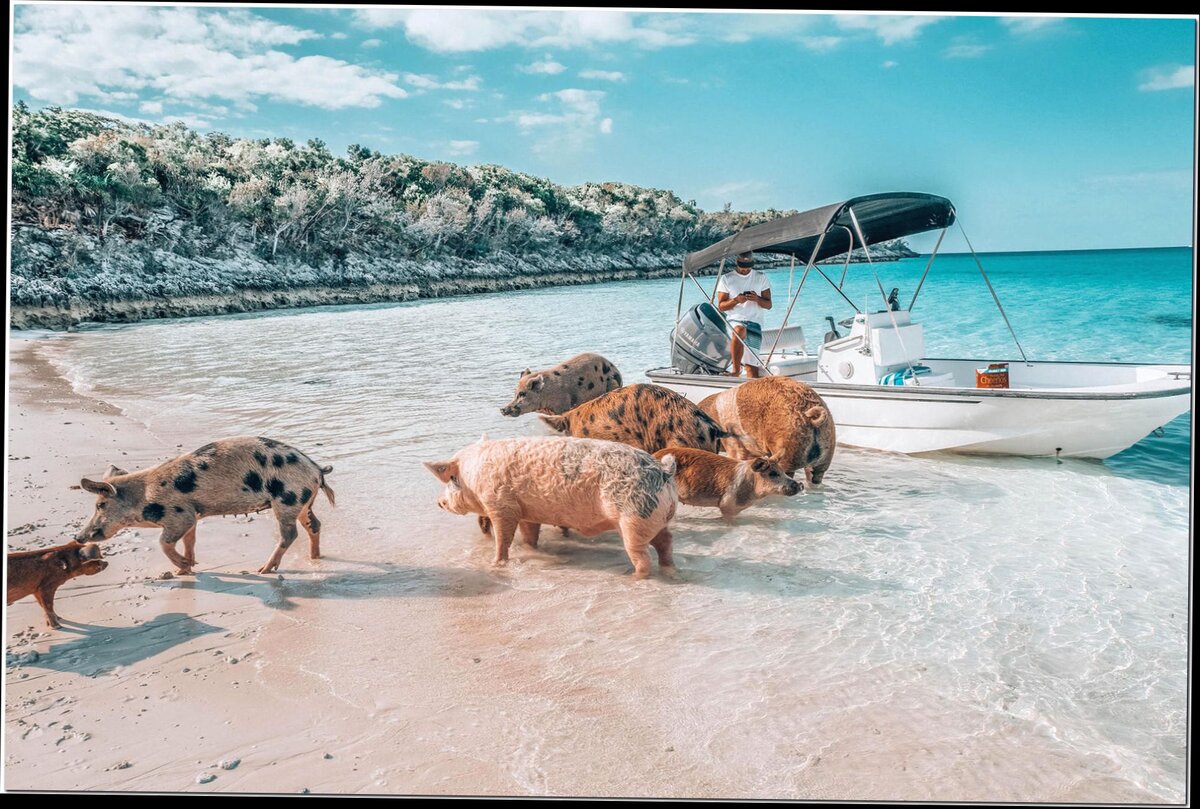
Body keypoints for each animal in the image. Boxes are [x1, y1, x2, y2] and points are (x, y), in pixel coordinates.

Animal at [73, 434, 338, 573]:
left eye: (100, 505)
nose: (78, 536)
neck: (144, 495)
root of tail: (316, 469)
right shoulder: (194, 515)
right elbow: (190, 540)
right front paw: (186, 568)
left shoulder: (180, 515)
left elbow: (163, 542)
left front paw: (182, 566)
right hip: (302, 503)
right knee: (314, 525)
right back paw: (315, 557)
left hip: (286, 500)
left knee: (290, 534)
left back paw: (263, 569)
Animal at [427, 432, 681, 576]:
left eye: (451, 479)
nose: (439, 502)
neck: (475, 474)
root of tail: (664, 471)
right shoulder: (526, 511)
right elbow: (529, 535)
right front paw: (531, 551)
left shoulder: (501, 505)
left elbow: (503, 538)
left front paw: (496, 564)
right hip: (656, 518)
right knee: (666, 541)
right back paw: (670, 570)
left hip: (633, 517)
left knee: (643, 556)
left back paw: (634, 576)